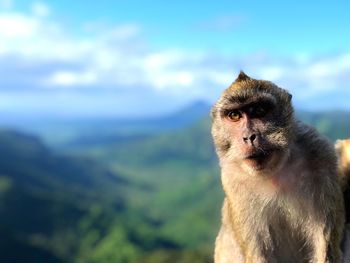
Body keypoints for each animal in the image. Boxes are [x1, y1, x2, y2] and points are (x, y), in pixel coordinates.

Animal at [211, 71, 344, 262]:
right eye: (234, 115)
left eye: (259, 110)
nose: (248, 137)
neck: (274, 172)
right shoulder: (232, 179)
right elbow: (259, 252)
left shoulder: (320, 155)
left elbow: (324, 245)